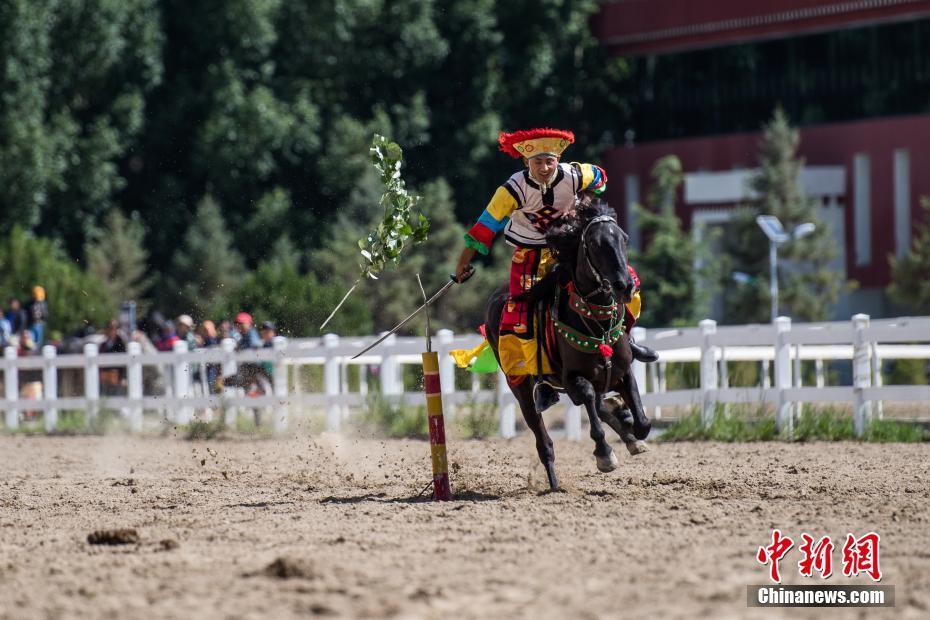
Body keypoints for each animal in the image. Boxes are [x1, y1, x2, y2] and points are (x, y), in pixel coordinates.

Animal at [486, 202, 652, 490]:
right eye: (595, 244)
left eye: (624, 238)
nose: (625, 286)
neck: (596, 323)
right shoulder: (572, 379)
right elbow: (588, 400)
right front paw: (604, 454)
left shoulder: (622, 371)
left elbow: (641, 421)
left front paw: (630, 427)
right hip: (520, 387)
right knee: (543, 438)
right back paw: (553, 482)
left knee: (601, 406)